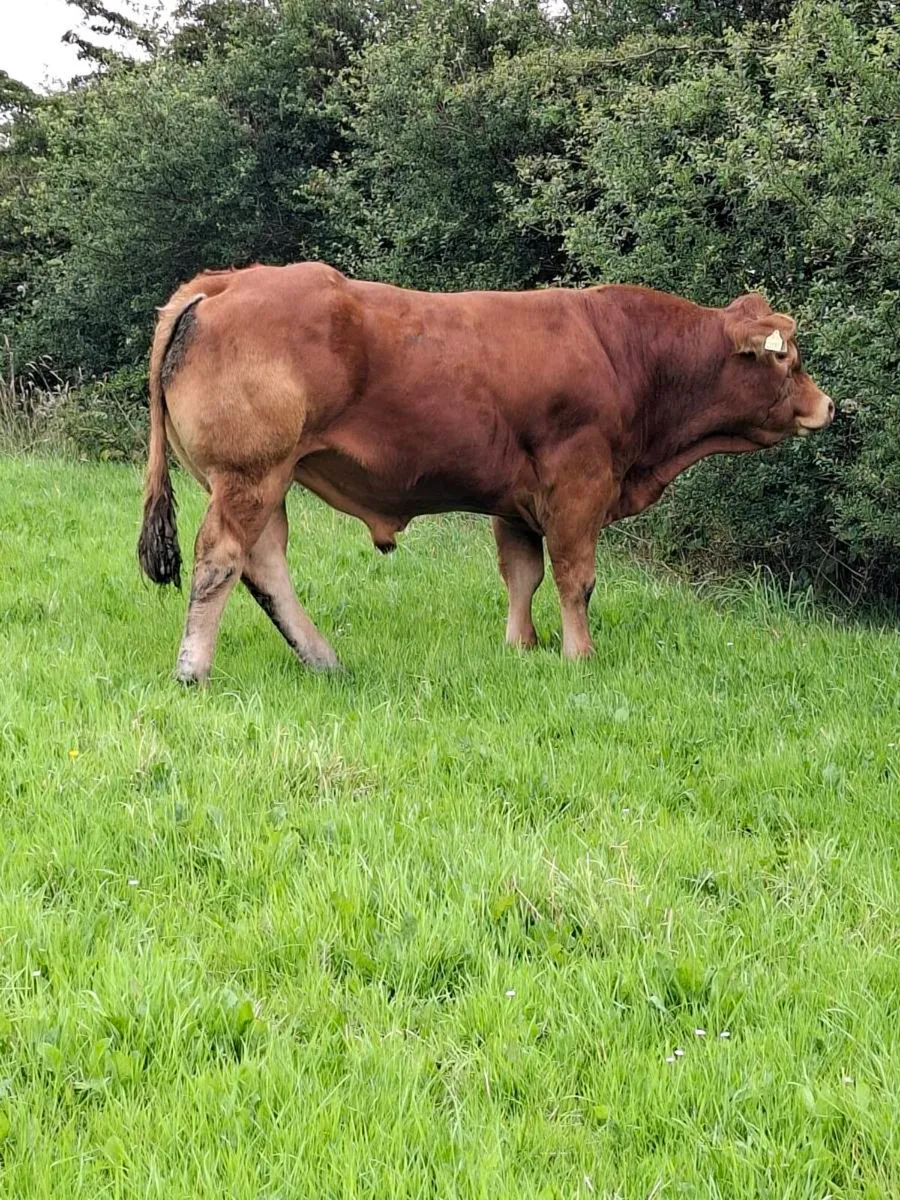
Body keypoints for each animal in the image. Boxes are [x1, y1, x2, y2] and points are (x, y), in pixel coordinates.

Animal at [137, 262, 834, 683]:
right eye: (788, 359)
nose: (828, 405)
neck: (623, 351)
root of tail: (221, 283)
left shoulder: (515, 499)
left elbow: (522, 575)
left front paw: (520, 646)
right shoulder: (579, 484)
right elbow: (575, 578)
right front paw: (579, 655)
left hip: (267, 478)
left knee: (264, 564)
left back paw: (323, 659)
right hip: (251, 473)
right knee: (222, 557)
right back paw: (194, 669)